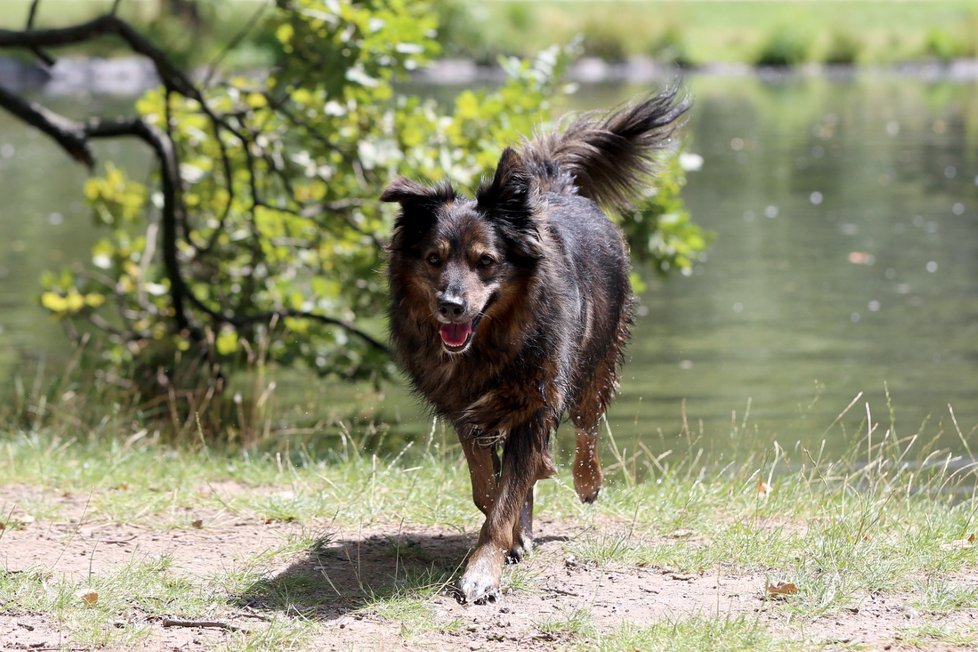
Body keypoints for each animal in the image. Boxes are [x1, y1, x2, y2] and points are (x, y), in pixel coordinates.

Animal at [382, 88, 688, 608]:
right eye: (433, 259)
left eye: (486, 262)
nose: (450, 306)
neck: (496, 339)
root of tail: (554, 186)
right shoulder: (467, 408)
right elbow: (490, 487)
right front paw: (511, 535)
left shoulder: (535, 403)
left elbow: (506, 494)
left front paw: (484, 569)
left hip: (595, 364)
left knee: (587, 425)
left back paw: (587, 482)